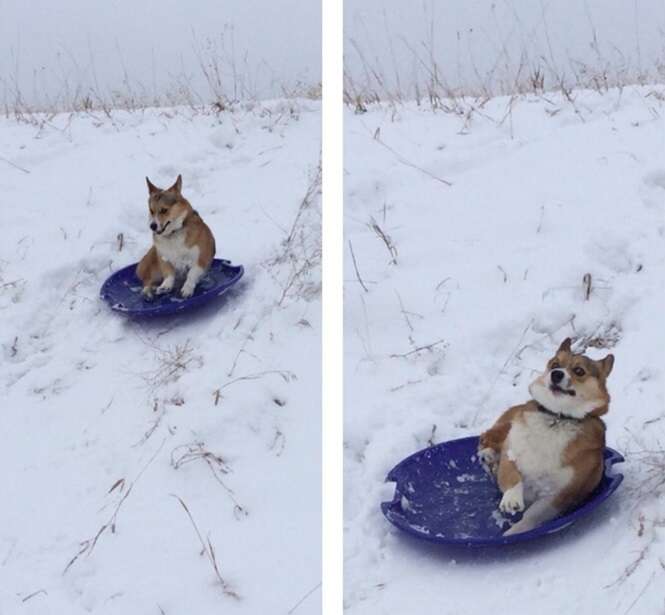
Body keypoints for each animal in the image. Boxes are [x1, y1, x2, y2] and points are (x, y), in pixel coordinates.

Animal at [478, 340, 612, 536]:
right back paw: (487, 455)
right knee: (485, 437)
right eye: (555, 364)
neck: (557, 417)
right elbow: (511, 474)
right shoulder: (510, 452)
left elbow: (532, 515)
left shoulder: (559, 494)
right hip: (506, 425)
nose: (556, 374)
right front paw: (511, 499)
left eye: (579, 371)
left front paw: (515, 532)